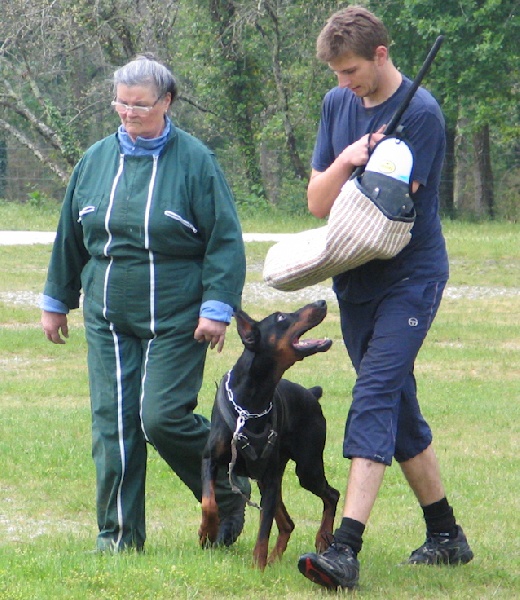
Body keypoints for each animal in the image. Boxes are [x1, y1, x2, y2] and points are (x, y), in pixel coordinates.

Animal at [197, 302, 340, 568]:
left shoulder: (271, 477)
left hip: (306, 466)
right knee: (288, 522)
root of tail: (311, 393)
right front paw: (206, 532)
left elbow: (263, 530)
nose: (321, 303)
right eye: (281, 317)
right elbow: (209, 501)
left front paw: (257, 566)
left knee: (331, 495)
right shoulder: (210, 459)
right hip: (274, 475)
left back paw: (322, 536)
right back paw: (275, 558)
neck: (251, 402)